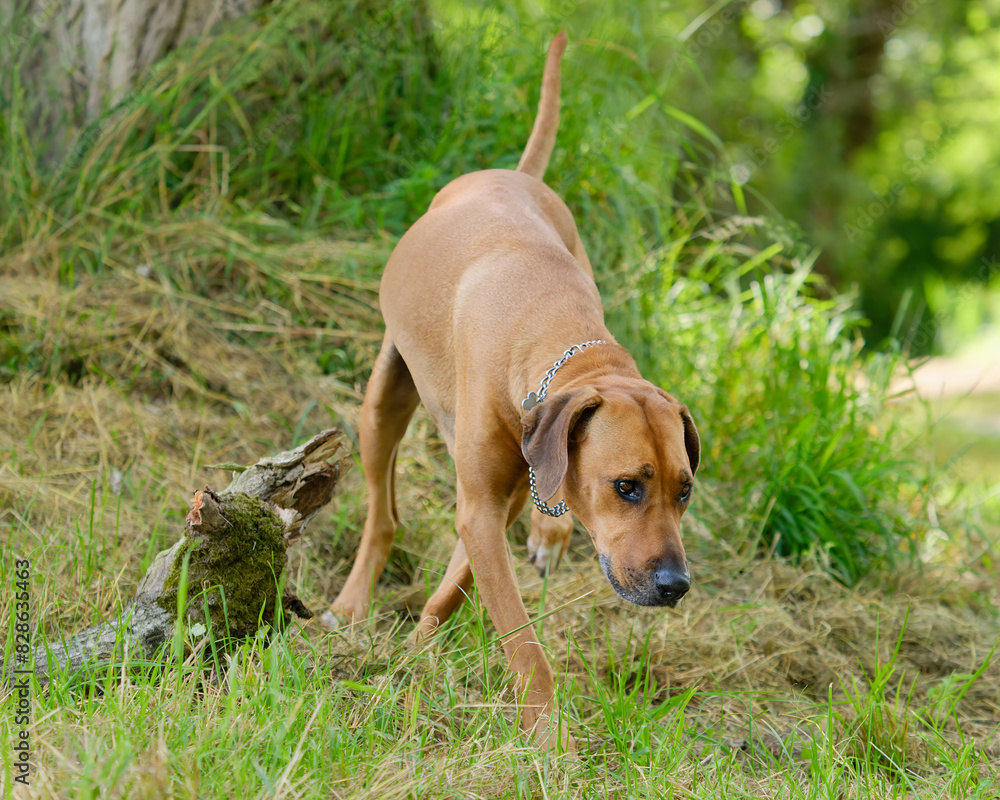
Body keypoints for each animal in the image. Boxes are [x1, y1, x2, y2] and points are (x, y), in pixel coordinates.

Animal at [332, 32, 700, 752]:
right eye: (627, 487)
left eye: (684, 491)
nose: (675, 585)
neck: (563, 340)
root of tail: (517, 173)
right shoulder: (480, 502)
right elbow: (523, 640)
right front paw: (548, 738)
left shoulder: (497, 502)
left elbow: (460, 584)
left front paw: (419, 646)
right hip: (384, 397)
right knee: (382, 514)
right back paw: (351, 604)